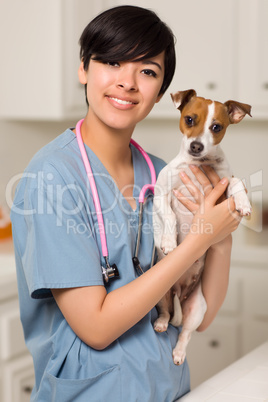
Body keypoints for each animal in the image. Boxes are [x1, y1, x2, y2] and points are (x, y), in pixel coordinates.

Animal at [153, 89, 251, 366]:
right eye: (189, 119)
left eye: (216, 127)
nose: (196, 146)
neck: (198, 164)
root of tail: (179, 291)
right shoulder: (161, 193)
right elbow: (169, 216)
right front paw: (169, 242)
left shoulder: (223, 185)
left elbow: (236, 182)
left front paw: (243, 202)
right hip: (161, 295)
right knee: (166, 314)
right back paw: (161, 324)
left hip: (198, 308)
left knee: (185, 332)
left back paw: (178, 352)